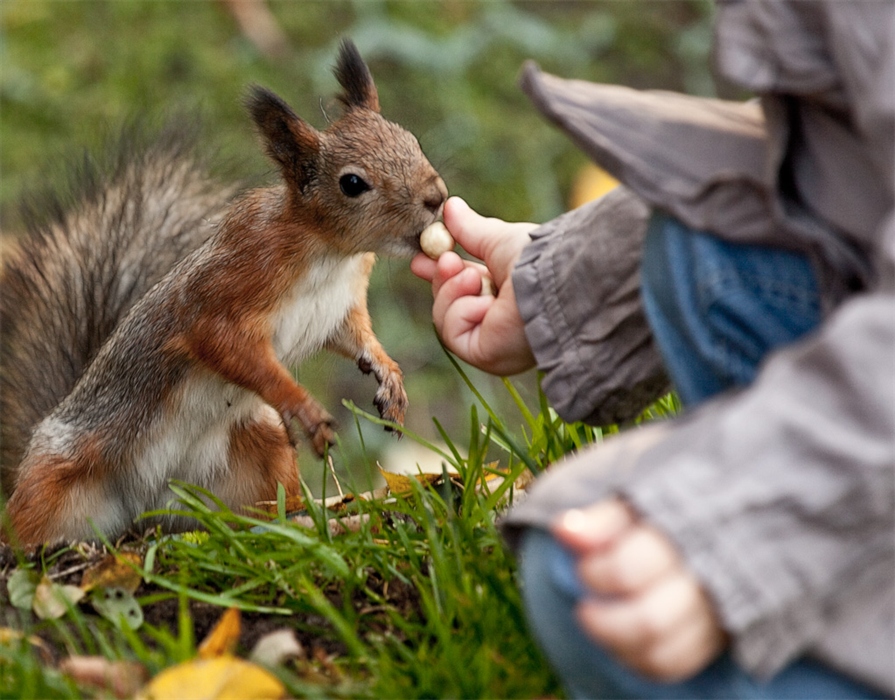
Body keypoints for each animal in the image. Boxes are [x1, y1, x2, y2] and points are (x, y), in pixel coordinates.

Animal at [0, 39, 448, 548]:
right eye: (352, 183)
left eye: (411, 140)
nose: (436, 196)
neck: (331, 255)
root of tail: (143, 516)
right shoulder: (227, 289)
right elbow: (225, 344)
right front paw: (303, 406)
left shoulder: (340, 308)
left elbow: (356, 337)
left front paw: (388, 374)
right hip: (54, 477)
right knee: (30, 519)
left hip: (258, 450)